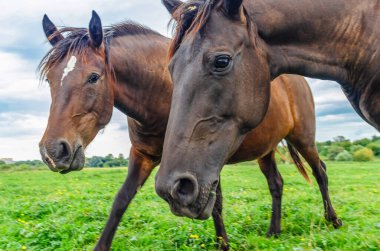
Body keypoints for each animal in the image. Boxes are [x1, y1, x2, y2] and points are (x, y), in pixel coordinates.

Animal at [39, 10, 338, 250]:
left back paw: (333, 221)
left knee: (320, 171)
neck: (161, 93)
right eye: (51, 80)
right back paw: (274, 231)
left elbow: (215, 203)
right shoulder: (144, 156)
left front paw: (223, 244)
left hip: (302, 139)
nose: (53, 152)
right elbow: (121, 201)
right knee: (276, 183)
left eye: (93, 77)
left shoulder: (203, 159)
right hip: (265, 151)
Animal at [156, 0, 378, 231]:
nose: (172, 188)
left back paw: (333, 219)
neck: (363, 33)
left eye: (222, 61)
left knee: (320, 171)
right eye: (171, 68)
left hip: (303, 139)